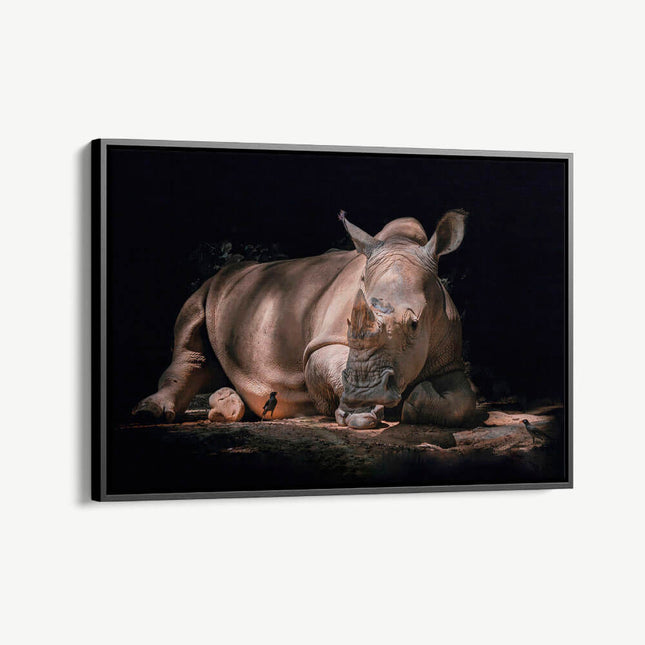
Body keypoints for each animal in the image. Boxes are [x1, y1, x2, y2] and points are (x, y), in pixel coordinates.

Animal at [133, 210, 478, 429]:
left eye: (414, 325)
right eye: (349, 323)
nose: (365, 393)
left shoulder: (449, 359)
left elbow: (464, 401)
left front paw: (413, 402)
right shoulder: (323, 344)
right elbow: (326, 364)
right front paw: (356, 414)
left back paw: (228, 406)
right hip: (210, 287)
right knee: (189, 346)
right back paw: (149, 414)